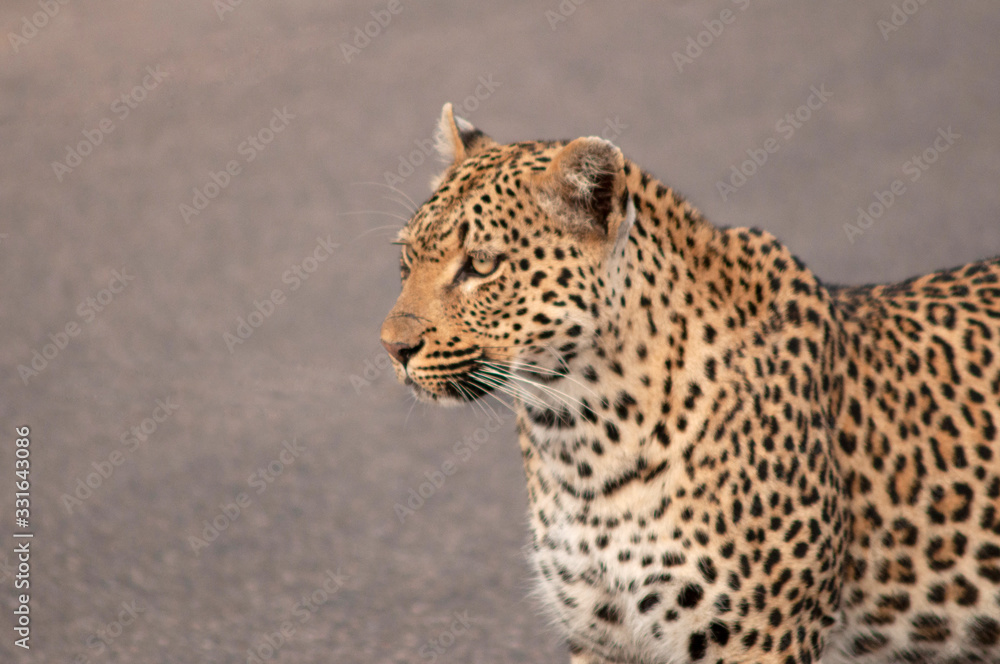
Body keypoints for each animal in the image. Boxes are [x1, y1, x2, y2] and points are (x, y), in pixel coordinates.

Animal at [379, 103, 1000, 664]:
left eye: (482, 265)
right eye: (407, 258)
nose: (392, 347)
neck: (579, 437)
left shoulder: (761, 638)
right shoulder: (602, 636)